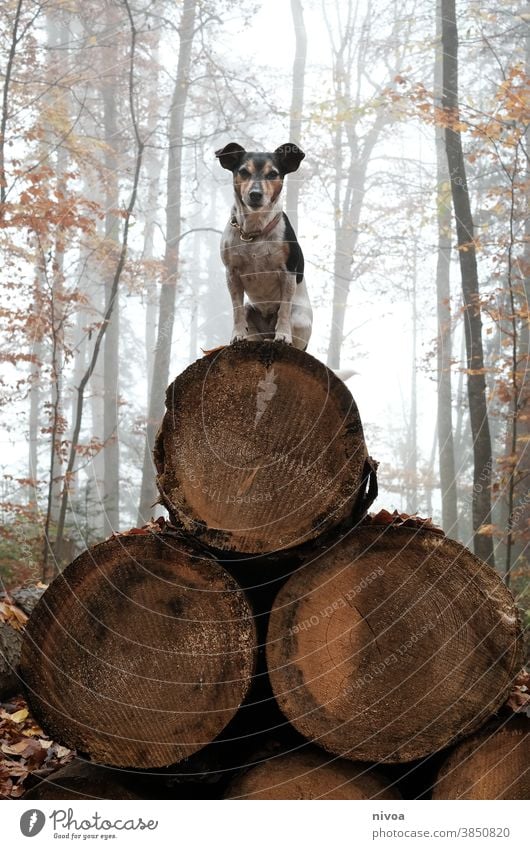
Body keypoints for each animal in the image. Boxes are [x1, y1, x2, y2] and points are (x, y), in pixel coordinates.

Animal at [214, 142, 312, 348]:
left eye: (273, 174)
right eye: (243, 172)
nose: (255, 194)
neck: (254, 232)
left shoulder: (288, 273)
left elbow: (284, 310)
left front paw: (283, 336)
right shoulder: (232, 274)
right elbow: (236, 310)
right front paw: (237, 335)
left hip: (299, 318)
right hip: (251, 310)